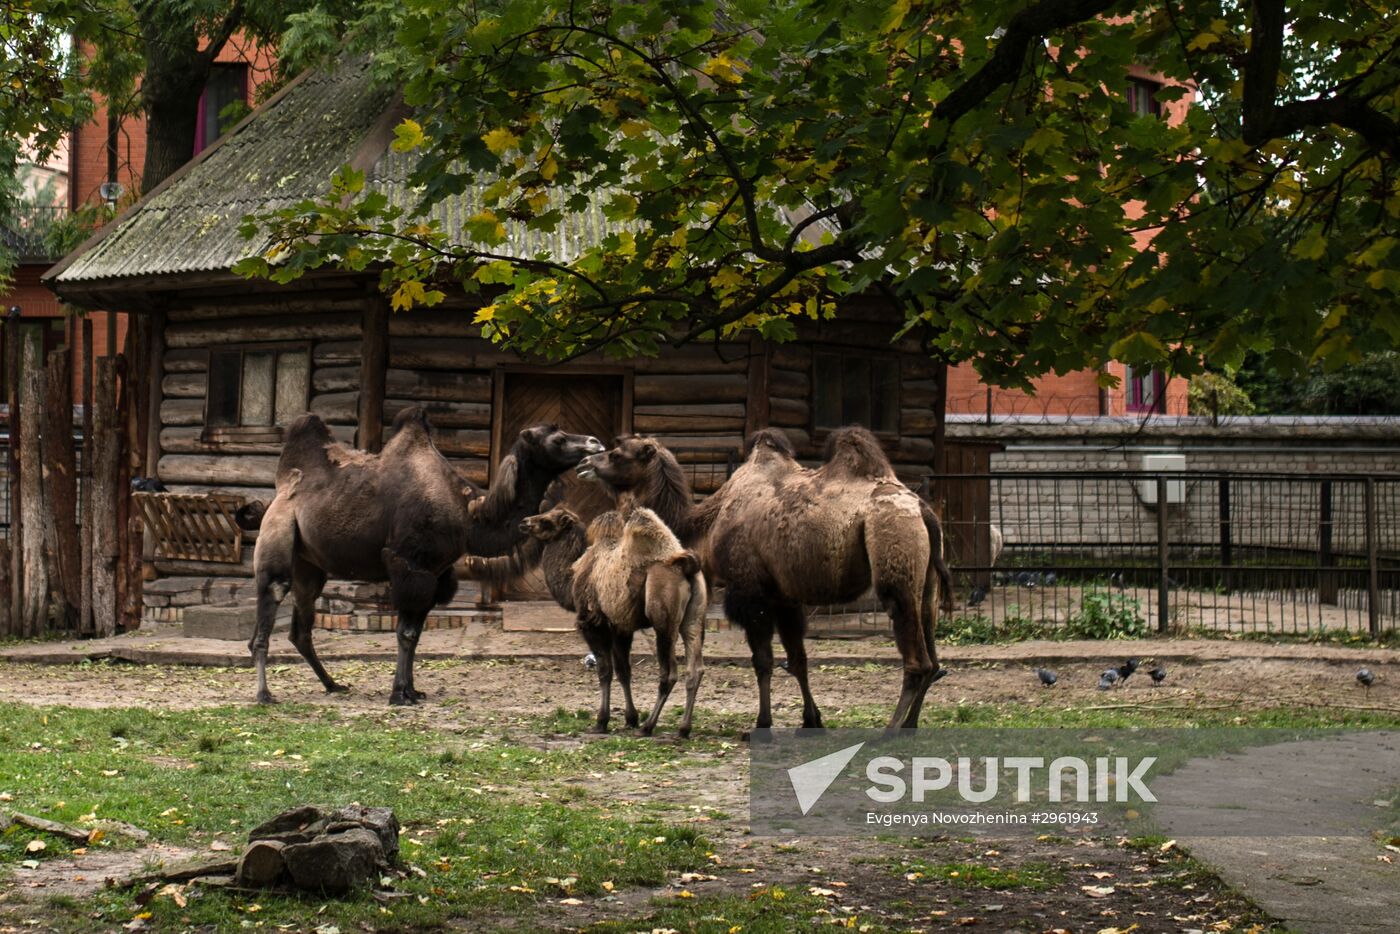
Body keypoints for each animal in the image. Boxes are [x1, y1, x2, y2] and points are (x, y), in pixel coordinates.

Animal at [252, 406, 602, 705]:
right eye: (557, 438)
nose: (595, 443)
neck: (466, 515)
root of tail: (281, 488)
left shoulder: (434, 575)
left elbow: (416, 635)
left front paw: (412, 691)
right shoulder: (409, 565)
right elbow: (405, 633)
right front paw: (398, 695)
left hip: (309, 565)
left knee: (301, 626)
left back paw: (333, 684)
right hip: (278, 531)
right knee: (273, 593)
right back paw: (264, 695)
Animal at [576, 428, 952, 728]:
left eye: (618, 453)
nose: (586, 463)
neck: (707, 525)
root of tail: (924, 510)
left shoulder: (749, 591)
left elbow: (763, 661)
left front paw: (762, 723)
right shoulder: (783, 596)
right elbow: (798, 660)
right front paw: (811, 720)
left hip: (894, 560)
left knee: (917, 661)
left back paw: (890, 731)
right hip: (926, 581)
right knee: (933, 658)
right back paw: (911, 726)